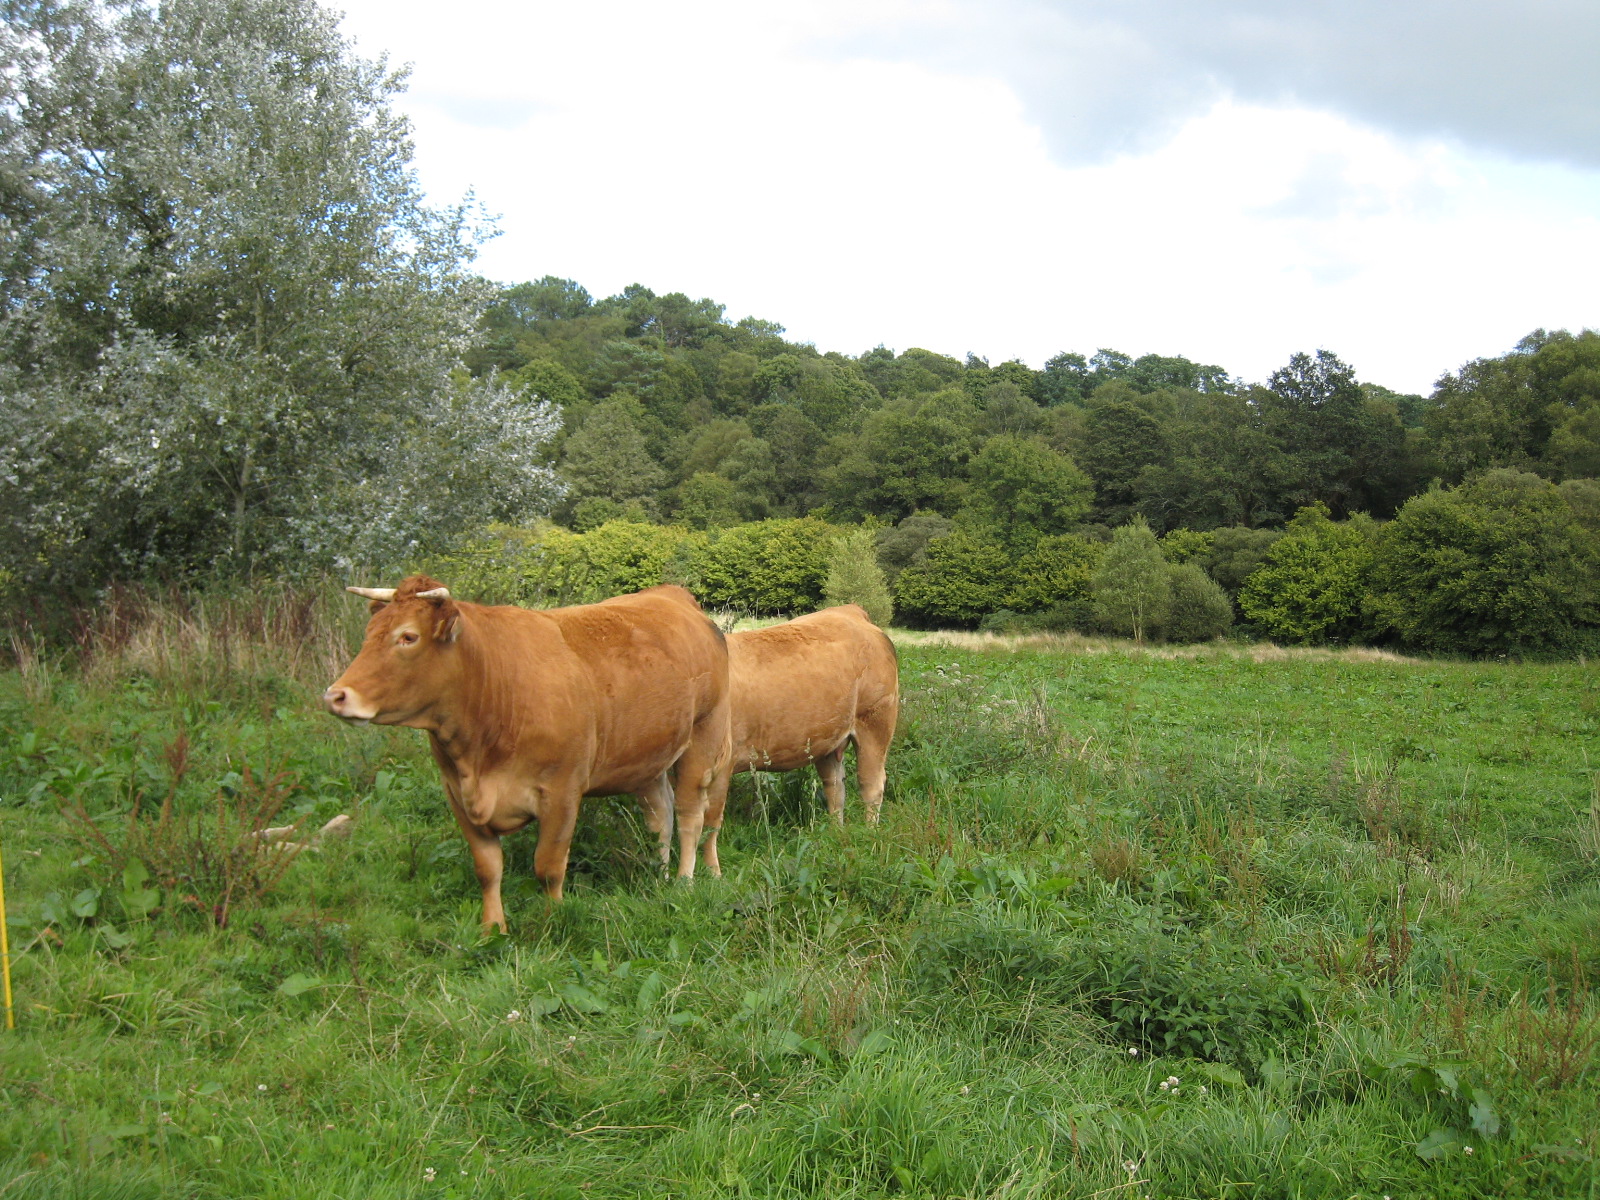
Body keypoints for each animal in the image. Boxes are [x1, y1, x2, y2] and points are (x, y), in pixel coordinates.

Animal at [323, 576, 731, 932]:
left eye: (408, 637)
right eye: (368, 635)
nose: (335, 696)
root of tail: (674, 594)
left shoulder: (562, 792)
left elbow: (548, 867)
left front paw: (554, 920)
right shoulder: (457, 793)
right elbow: (487, 869)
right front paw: (493, 929)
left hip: (704, 736)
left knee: (691, 816)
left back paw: (683, 881)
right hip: (647, 756)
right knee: (660, 815)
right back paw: (657, 875)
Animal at [696, 605, 898, 874]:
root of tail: (850, 611)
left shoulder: (718, 767)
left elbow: (707, 822)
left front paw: (711, 873)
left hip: (875, 723)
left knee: (871, 784)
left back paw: (870, 836)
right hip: (828, 741)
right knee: (836, 787)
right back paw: (835, 833)